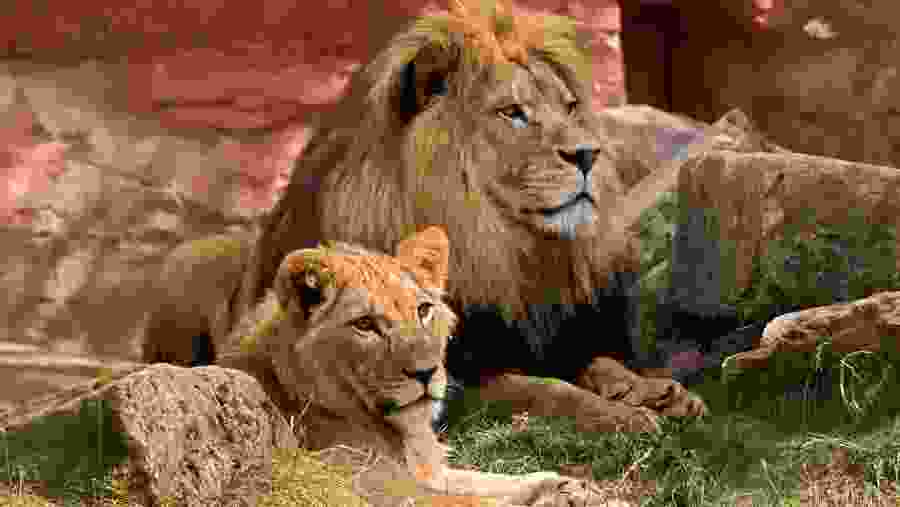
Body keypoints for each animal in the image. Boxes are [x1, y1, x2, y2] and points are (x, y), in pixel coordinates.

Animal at [209, 226, 612, 506]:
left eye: (423, 310)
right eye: (365, 324)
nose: (426, 373)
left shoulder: (430, 473)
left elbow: (483, 481)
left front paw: (568, 487)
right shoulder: (358, 485)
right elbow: (470, 501)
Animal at [232, 0, 706, 433]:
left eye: (570, 107)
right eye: (512, 112)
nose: (590, 153)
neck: (501, 250)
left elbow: (596, 361)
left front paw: (651, 390)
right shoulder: (452, 385)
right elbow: (545, 389)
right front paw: (622, 414)